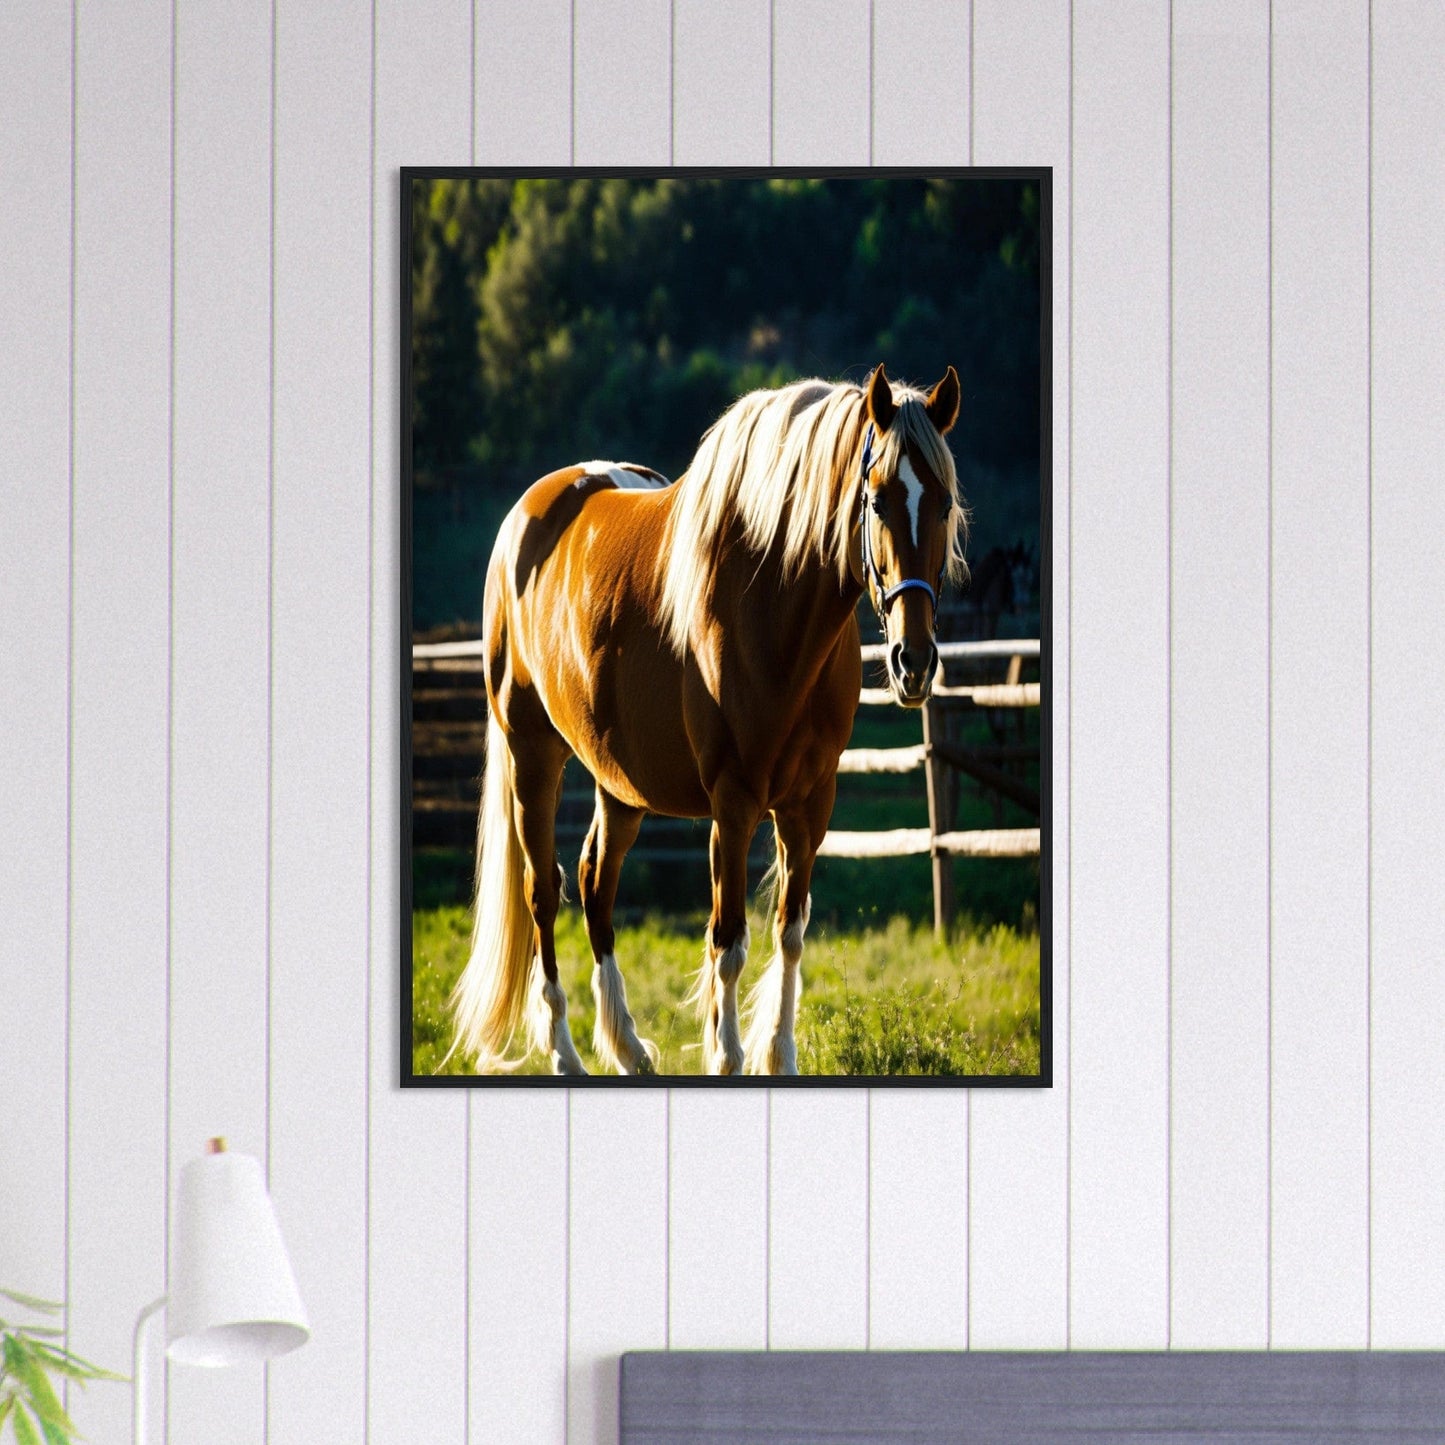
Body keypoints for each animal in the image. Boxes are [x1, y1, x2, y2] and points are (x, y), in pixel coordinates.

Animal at [447, 364, 966, 1075]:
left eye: (943, 504)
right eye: (879, 501)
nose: (913, 661)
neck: (772, 604)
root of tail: (522, 523)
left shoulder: (810, 802)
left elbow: (790, 931)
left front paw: (780, 1056)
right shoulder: (734, 802)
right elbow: (730, 940)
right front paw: (727, 1057)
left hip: (619, 783)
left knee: (595, 882)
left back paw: (628, 1046)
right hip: (533, 755)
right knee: (543, 892)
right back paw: (566, 1054)